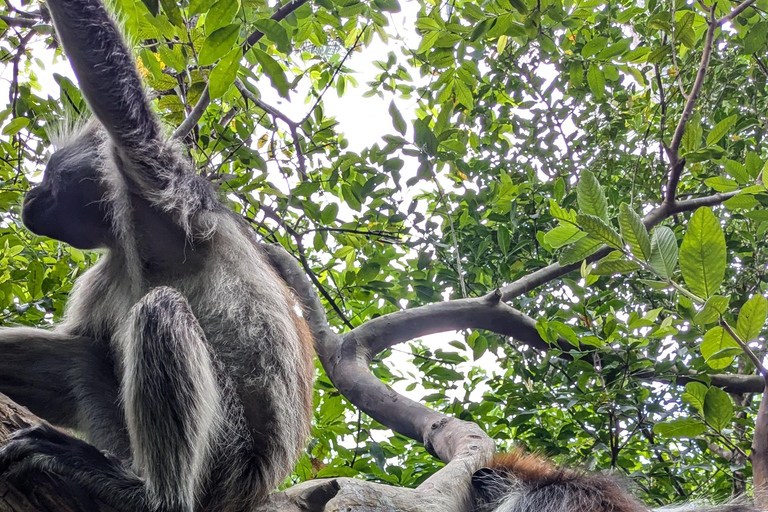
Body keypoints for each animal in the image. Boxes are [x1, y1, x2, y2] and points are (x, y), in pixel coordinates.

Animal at [0, 0, 314, 510]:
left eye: (49, 173)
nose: (30, 196)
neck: (130, 242)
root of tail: (256, 489)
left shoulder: (163, 191)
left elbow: (120, 105)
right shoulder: (107, 270)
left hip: (226, 458)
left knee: (160, 309)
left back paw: (149, 494)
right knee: (83, 357)